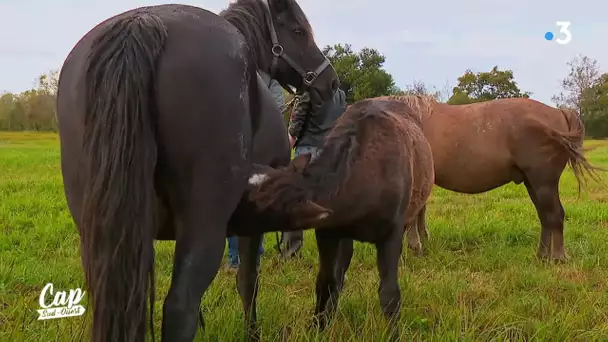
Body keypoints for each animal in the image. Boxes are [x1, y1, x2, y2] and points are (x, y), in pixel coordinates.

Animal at [247, 97, 436, 338]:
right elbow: (326, 282)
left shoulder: (391, 233)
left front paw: (392, 334)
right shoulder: (328, 232)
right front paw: (318, 327)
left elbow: (389, 292)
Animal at [382, 96, 600, 262]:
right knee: (545, 216)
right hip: (533, 183)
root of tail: (560, 112)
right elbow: (419, 213)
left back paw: (558, 257)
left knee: (555, 215)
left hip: (543, 183)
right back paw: (542, 255)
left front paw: (414, 246)